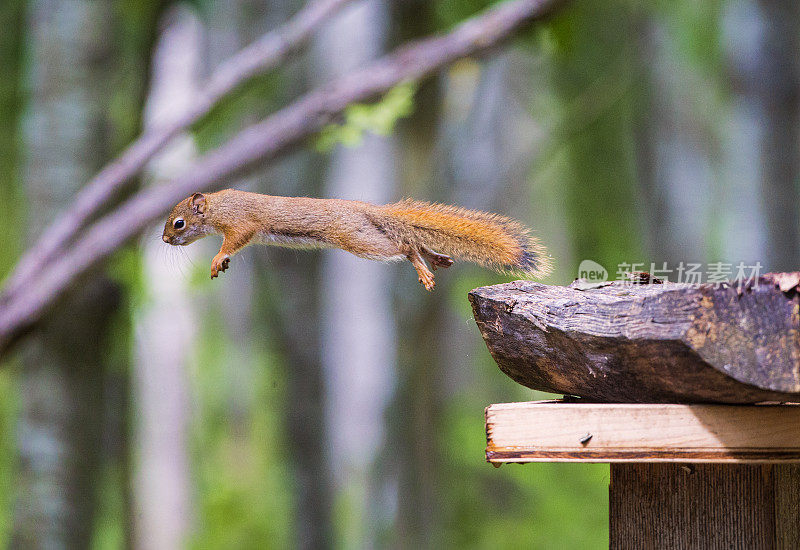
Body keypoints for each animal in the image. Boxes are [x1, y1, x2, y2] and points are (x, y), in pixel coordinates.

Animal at [161, 190, 552, 292]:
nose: (164, 239)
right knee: (413, 240)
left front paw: (218, 257)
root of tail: (366, 208)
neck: (217, 205)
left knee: (405, 246)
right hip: (369, 235)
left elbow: (234, 240)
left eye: (179, 223)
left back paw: (423, 268)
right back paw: (436, 259)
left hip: (360, 240)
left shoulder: (241, 223)